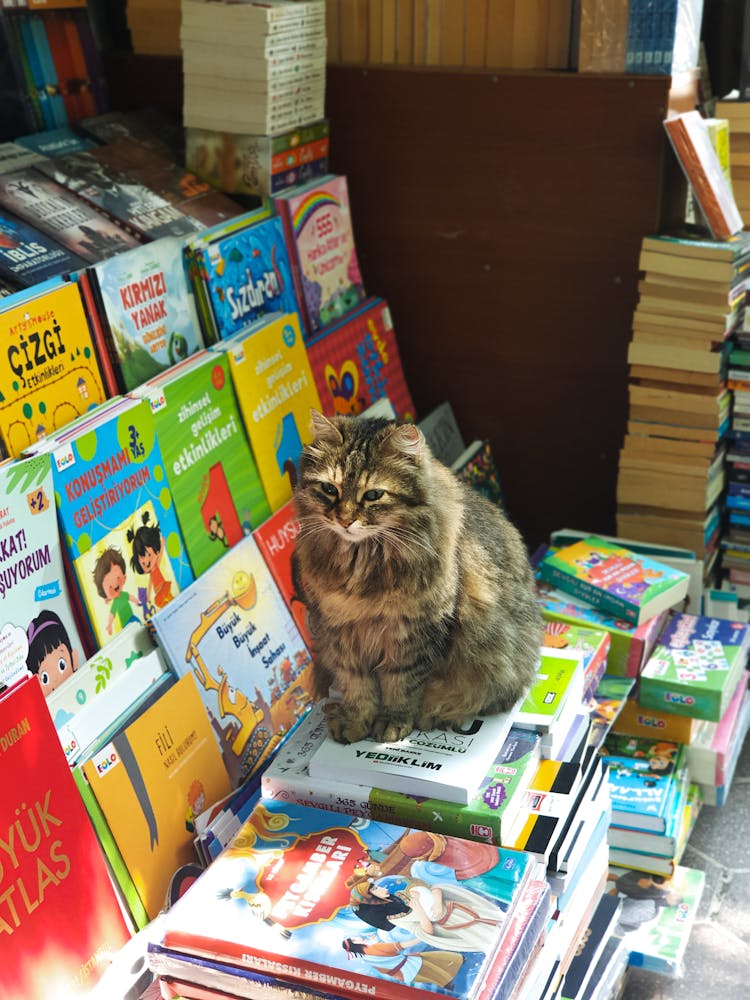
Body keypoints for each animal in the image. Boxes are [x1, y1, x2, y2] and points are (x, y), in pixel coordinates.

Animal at [290, 410, 544, 748]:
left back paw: (433, 716)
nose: (344, 520)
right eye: (330, 489)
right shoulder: (341, 631)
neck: (362, 563)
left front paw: (392, 724)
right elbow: (357, 687)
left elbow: (401, 687)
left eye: (373, 495)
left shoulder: (413, 633)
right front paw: (356, 723)